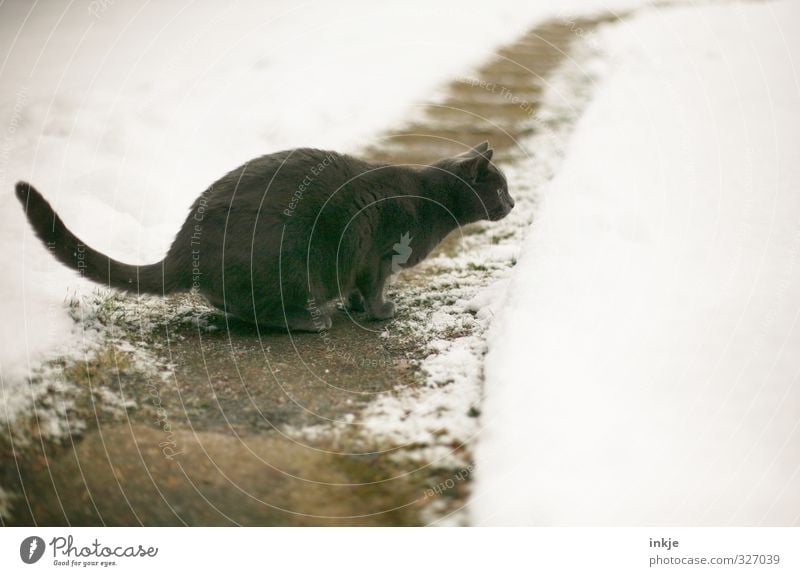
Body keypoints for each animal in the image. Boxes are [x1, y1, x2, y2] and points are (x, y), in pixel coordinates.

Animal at [17, 141, 512, 330]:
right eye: (500, 187)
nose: (513, 203)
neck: (432, 198)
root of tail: (183, 247)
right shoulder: (378, 256)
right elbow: (373, 289)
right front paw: (380, 313)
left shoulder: (363, 263)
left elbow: (358, 288)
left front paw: (358, 306)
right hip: (290, 259)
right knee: (259, 311)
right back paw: (312, 319)